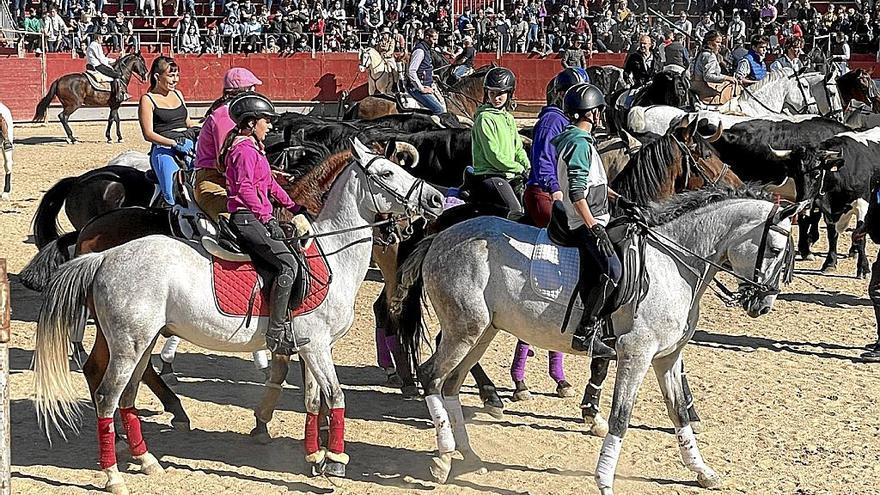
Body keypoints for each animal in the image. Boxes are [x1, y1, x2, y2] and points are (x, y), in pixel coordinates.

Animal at [32, 140, 446, 495]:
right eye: (387, 172)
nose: (437, 198)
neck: (330, 255)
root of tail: (103, 256)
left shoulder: (311, 346)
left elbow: (313, 400)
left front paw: (314, 454)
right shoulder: (315, 346)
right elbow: (335, 396)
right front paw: (335, 460)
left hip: (139, 341)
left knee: (125, 391)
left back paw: (145, 457)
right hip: (129, 345)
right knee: (108, 395)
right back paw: (114, 474)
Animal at [396, 188, 808, 494]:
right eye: (774, 250)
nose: (763, 304)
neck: (675, 265)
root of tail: (441, 235)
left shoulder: (667, 358)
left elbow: (679, 414)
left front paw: (702, 472)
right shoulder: (636, 355)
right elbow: (621, 418)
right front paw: (605, 481)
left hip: (484, 332)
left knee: (451, 383)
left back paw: (470, 455)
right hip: (464, 330)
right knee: (432, 376)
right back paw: (444, 459)